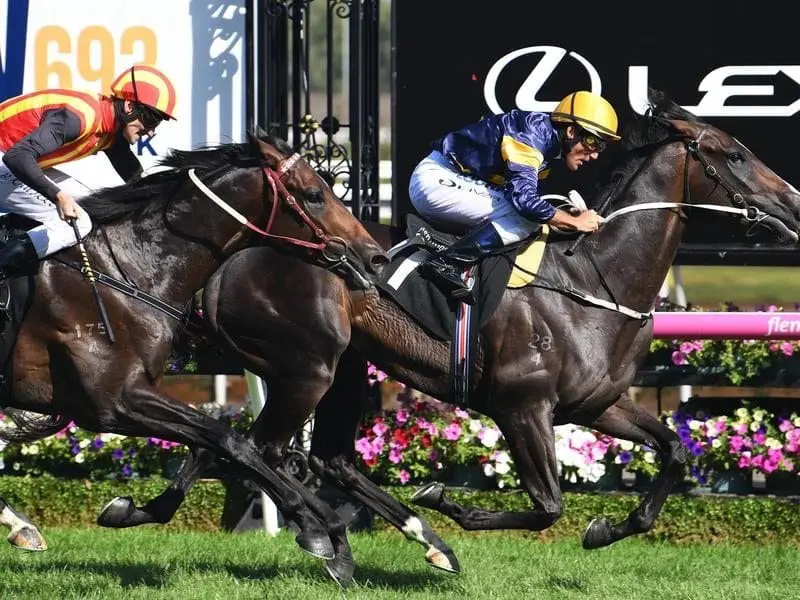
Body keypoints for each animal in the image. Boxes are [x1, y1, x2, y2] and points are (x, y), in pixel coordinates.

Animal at [0, 132, 388, 556]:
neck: (122, 271)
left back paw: (20, 525)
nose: (374, 256)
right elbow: (227, 438)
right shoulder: (112, 402)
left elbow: (220, 441)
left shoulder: (130, 395)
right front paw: (314, 527)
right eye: (315, 194)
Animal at [100, 90, 800, 584]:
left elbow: (673, 454)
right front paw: (447, 500)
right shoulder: (522, 408)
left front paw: (606, 529)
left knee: (281, 449)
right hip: (306, 365)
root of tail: (235, 253)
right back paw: (337, 535)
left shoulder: (598, 404)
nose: (792, 201)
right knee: (258, 446)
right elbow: (548, 504)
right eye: (735, 153)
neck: (593, 278)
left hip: (337, 366)